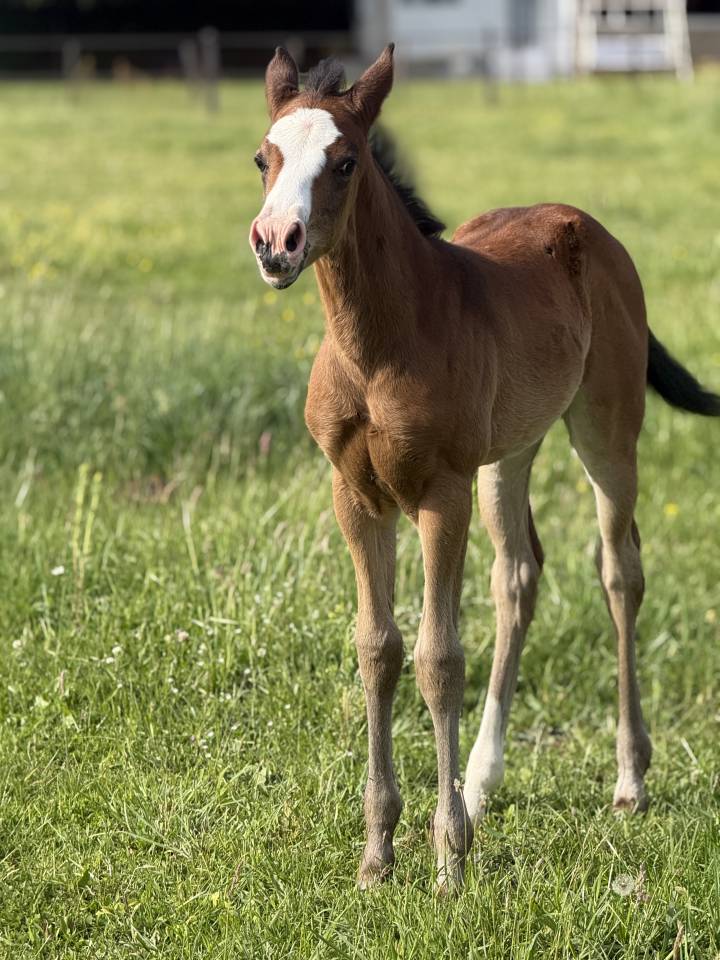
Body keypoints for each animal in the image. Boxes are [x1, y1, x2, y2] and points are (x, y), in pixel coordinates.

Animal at [249, 45, 720, 891]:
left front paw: (447, 863)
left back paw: (629, 779)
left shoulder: (440, 493)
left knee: (619, 571)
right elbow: (377, 650)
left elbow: (438, 658)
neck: (380, 346)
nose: (277, 242)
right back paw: (480, 778)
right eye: (262, 158)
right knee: (519, 575)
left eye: (345, 160)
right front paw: (377, 855)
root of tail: (587, 225)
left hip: (605, 432)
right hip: (508, 456)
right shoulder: (355, 494)